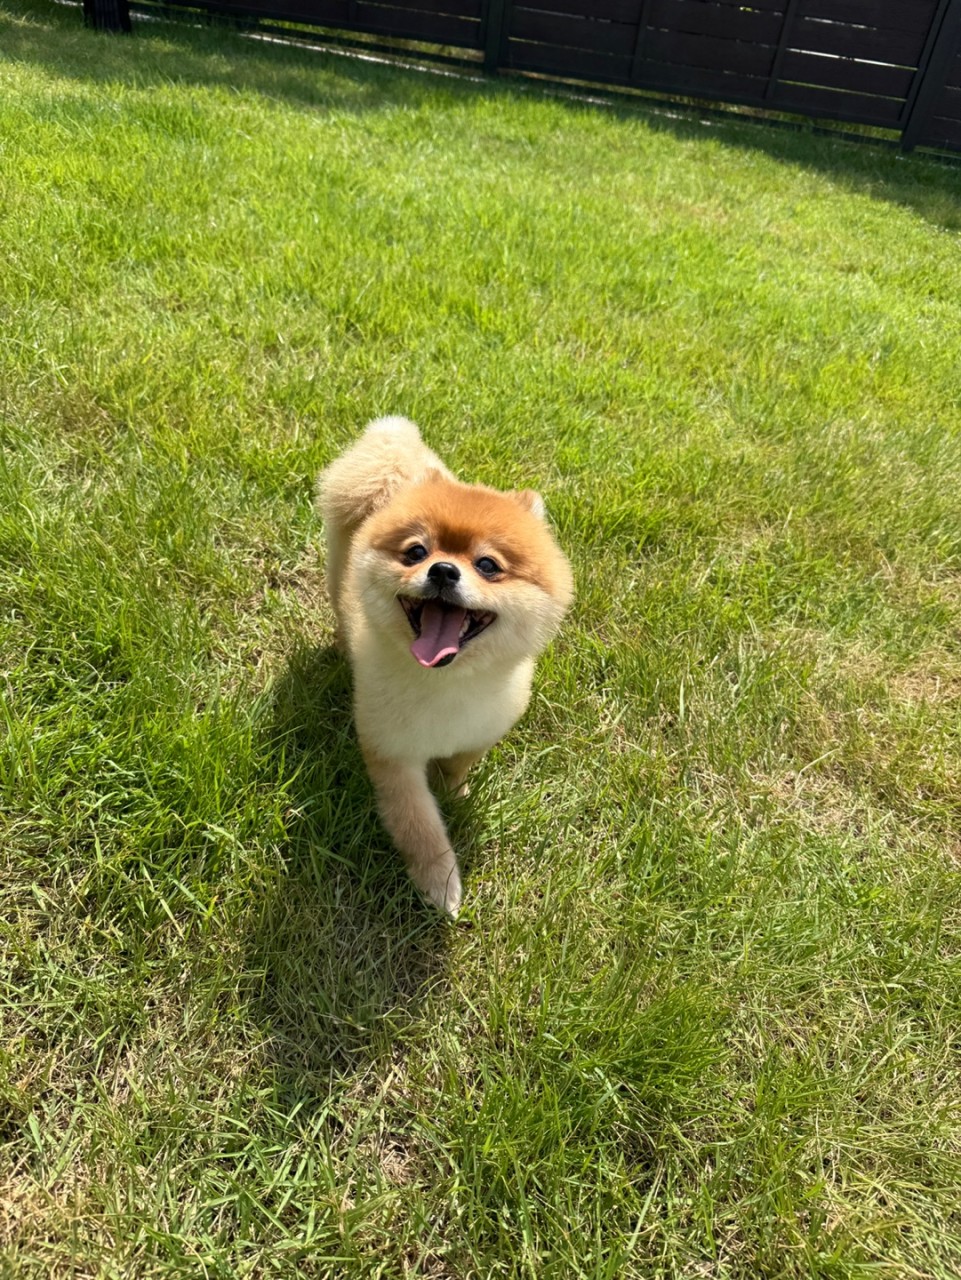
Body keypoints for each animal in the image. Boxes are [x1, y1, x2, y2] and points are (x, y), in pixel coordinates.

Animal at [316, 417, 573, 916]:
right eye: (416, 552)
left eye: (488, 565)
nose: (443, 571)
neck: (447, 682)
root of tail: (394, 452)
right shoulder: (392, 753)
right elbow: (418, 825)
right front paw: (440, 883)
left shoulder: (484, 728)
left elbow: (458, 763)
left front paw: (455, 791)